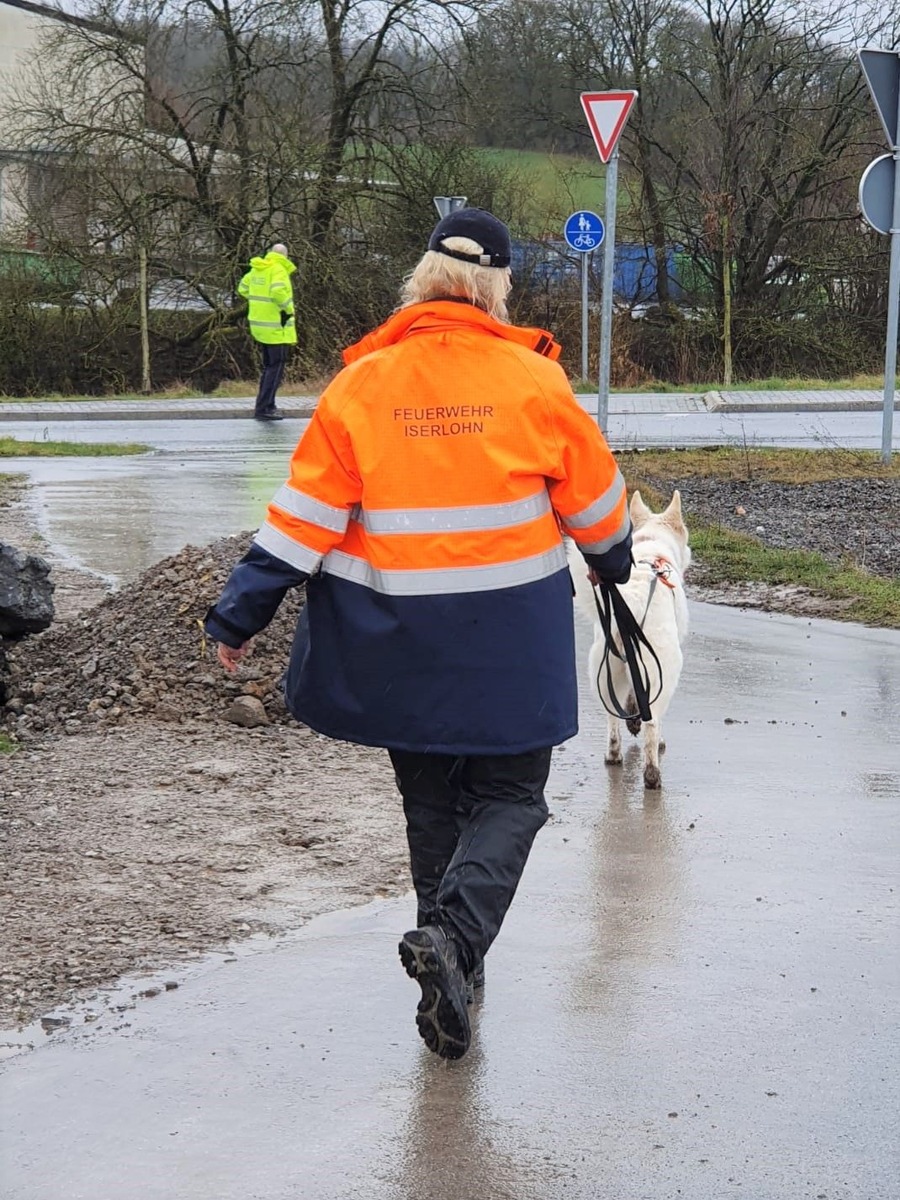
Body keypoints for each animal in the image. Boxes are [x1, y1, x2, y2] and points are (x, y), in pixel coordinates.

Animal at [573, 487, 696, 787]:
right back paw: (652, 772)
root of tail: (632, 603)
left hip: (606, 667)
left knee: (611, 715)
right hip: (663, 666)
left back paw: (614, 753)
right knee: (653, 721)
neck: (651, 544)